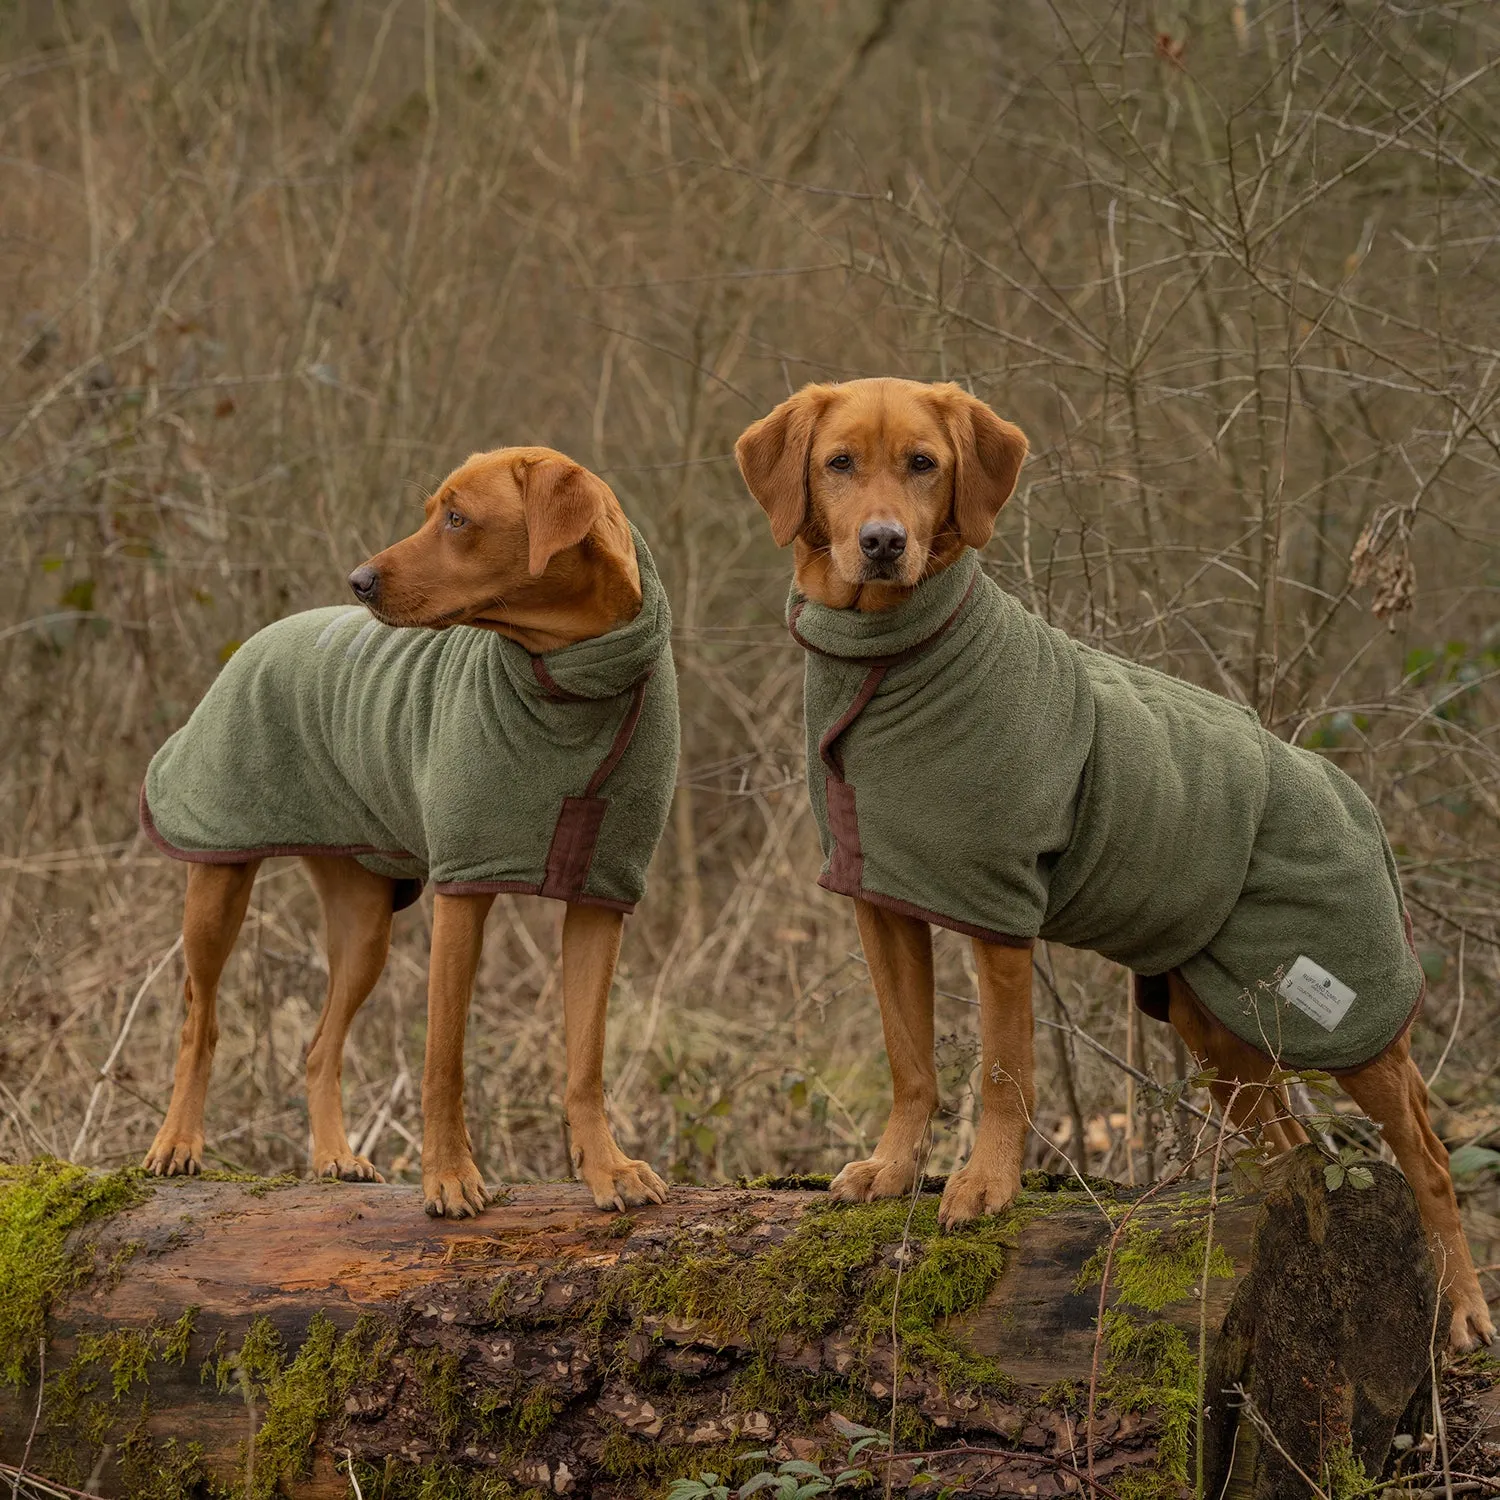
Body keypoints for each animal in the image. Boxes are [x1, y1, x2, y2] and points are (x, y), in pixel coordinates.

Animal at [141, 444, 681, 1218]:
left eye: (457, 518)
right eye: (434, 511)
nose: (359, 580)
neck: (575, 679)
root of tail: (258, 638)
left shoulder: (600, 897)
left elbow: (587, 1060)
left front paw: (607, 1168)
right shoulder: (463, 891)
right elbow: (443, 1058)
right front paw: (449, 1176)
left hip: (366, 920)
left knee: (318, 1046)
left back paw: (334, 1156)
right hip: (216, 879)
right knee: (199, 1019)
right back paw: (178, 1142)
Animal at [732, 372, 1494, 1350]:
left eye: (923, 465)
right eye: (838, 464)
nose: (882, 543)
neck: (892, 660)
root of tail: (1352, 796)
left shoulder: (1000, 915)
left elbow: (1001, 1070)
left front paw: (986, 1185)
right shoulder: (885, 903)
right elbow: (911, 1064)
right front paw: (893, 1170)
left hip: (1345, 1015)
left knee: (1430, 1159)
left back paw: (1464, 1307)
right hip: (1220, 1026)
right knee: (1290, 1144)